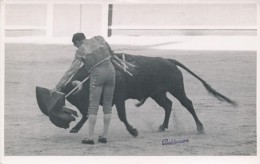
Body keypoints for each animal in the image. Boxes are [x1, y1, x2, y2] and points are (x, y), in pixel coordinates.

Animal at [60, 53, 236, 136]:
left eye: (79, 98)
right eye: (73, 101)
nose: (78, 113)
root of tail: (169, 60)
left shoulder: (119, 98)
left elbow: (122, 116)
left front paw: (133, 131)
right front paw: (75, 129)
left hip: (177, 89)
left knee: (187, 104)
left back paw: (199, 128)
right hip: (157, 94)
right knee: (168, 105)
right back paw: (162, 126)